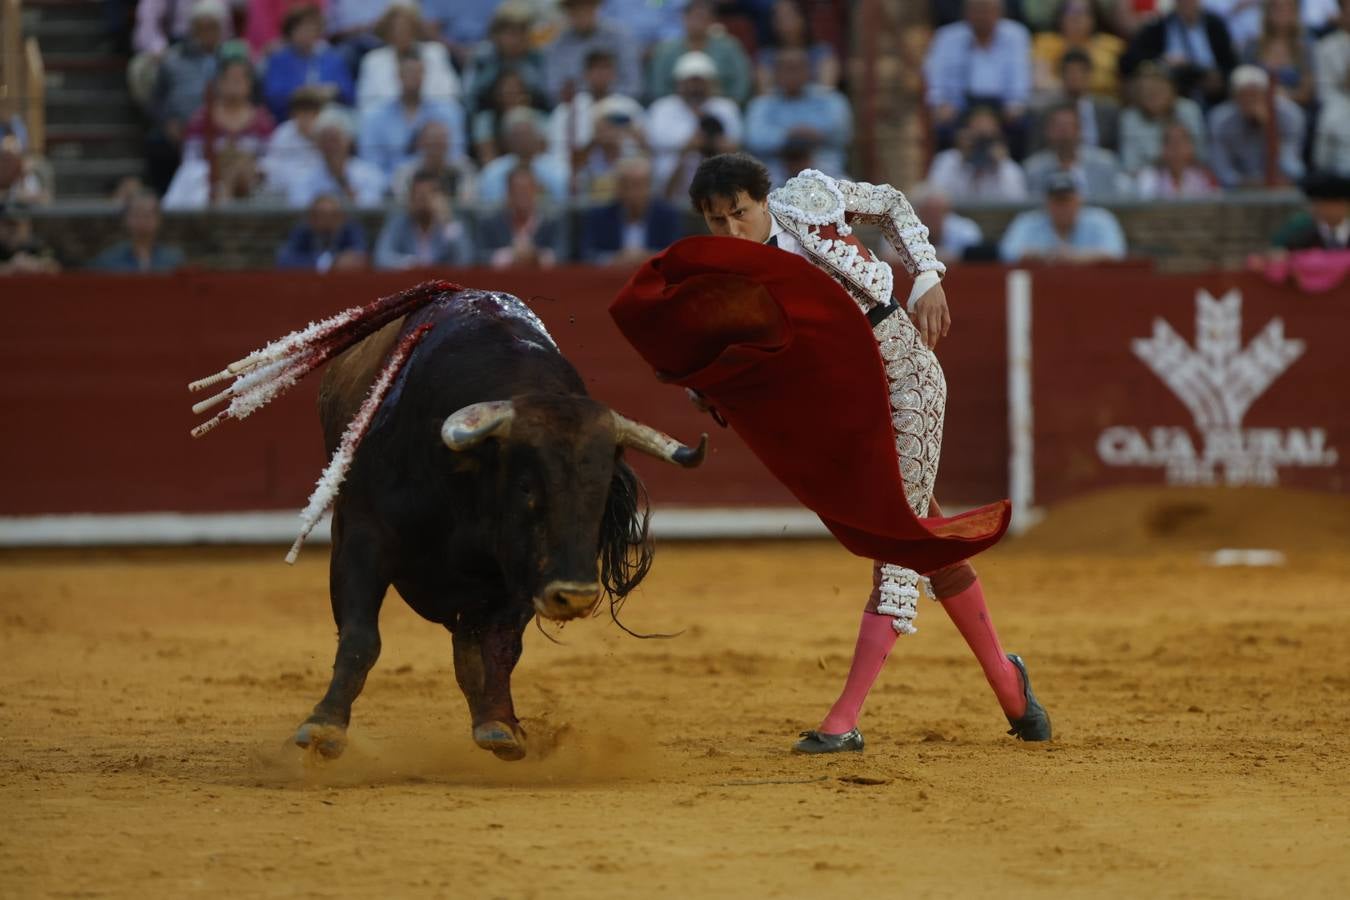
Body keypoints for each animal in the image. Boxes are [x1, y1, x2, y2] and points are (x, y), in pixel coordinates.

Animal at [291, 290, 712, 761]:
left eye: (604, 492)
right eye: (526, 486)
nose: (574, 596)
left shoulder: (524, 573)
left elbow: (499, 645)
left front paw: (499, 723)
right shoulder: (363, 539)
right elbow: (361, 637)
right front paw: (323, 725)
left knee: (471, 641)